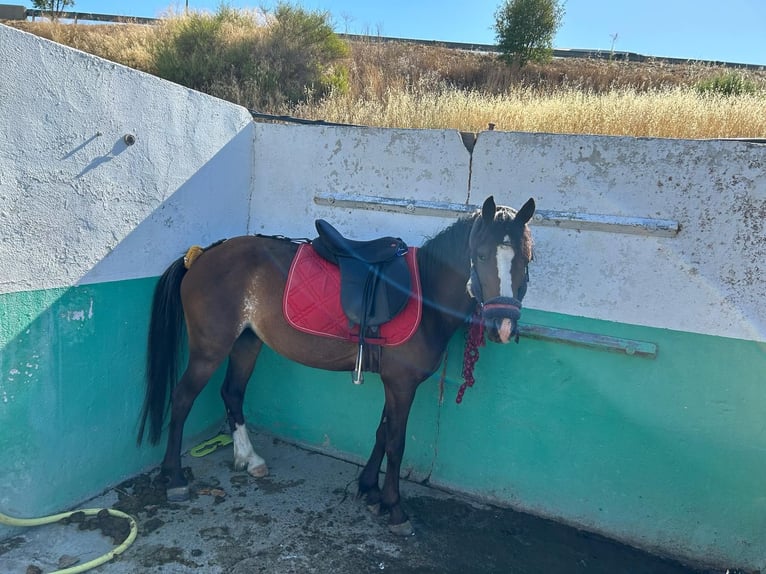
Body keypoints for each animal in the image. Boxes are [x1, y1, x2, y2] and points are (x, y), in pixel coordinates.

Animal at [137, 195, 535, 536]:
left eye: (526, 258)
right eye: (480, 256)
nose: (502, 326)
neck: (424, 293)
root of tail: (202, 254)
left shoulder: (394, 383)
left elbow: (382, 432)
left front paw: (370, 490)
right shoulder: (402, 384)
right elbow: (396, 442)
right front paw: (394, 509)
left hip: (246, 343)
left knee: (232, 393)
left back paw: (249, 459)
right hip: (210, 350)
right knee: (183, 399)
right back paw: (174, 479)